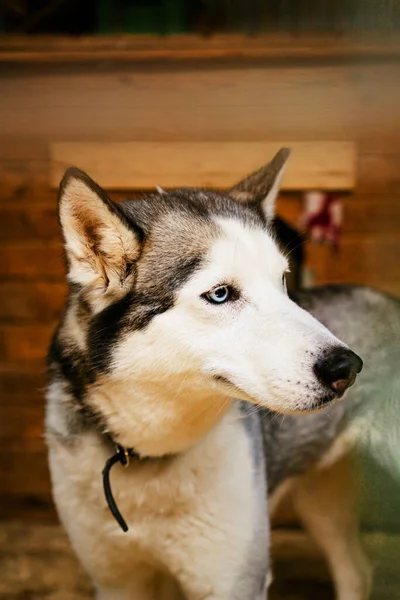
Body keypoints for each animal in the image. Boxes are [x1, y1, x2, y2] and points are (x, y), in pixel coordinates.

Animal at [45, 149, 364, 600]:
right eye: (220, 294)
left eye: (283, 281)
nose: (346, 368)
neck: (152, 453)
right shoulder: (116, 581)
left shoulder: (234, 581)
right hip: (321, 503)